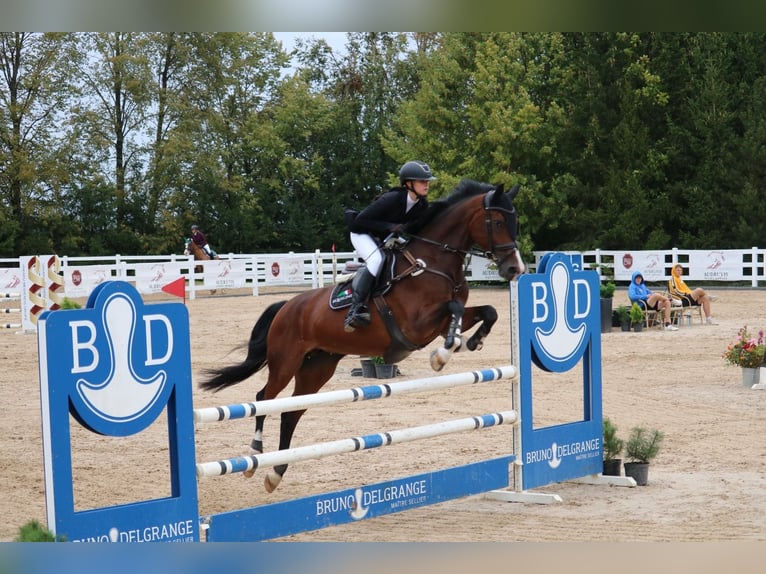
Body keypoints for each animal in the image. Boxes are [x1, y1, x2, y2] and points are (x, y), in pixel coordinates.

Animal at [201, 181, 524, 496]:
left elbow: (488, 311)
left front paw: (472, 341)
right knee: (263, 399)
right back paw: (255, 455)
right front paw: (441, 356)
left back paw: (275, 473)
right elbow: (454, 308)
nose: (515, 269)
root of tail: (287, 306)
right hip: (285, 361)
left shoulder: (439, 323)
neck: (433, 261)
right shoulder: (417, 324)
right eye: (497, 221)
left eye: (514, 220)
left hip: (317, 368)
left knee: (291, 412)